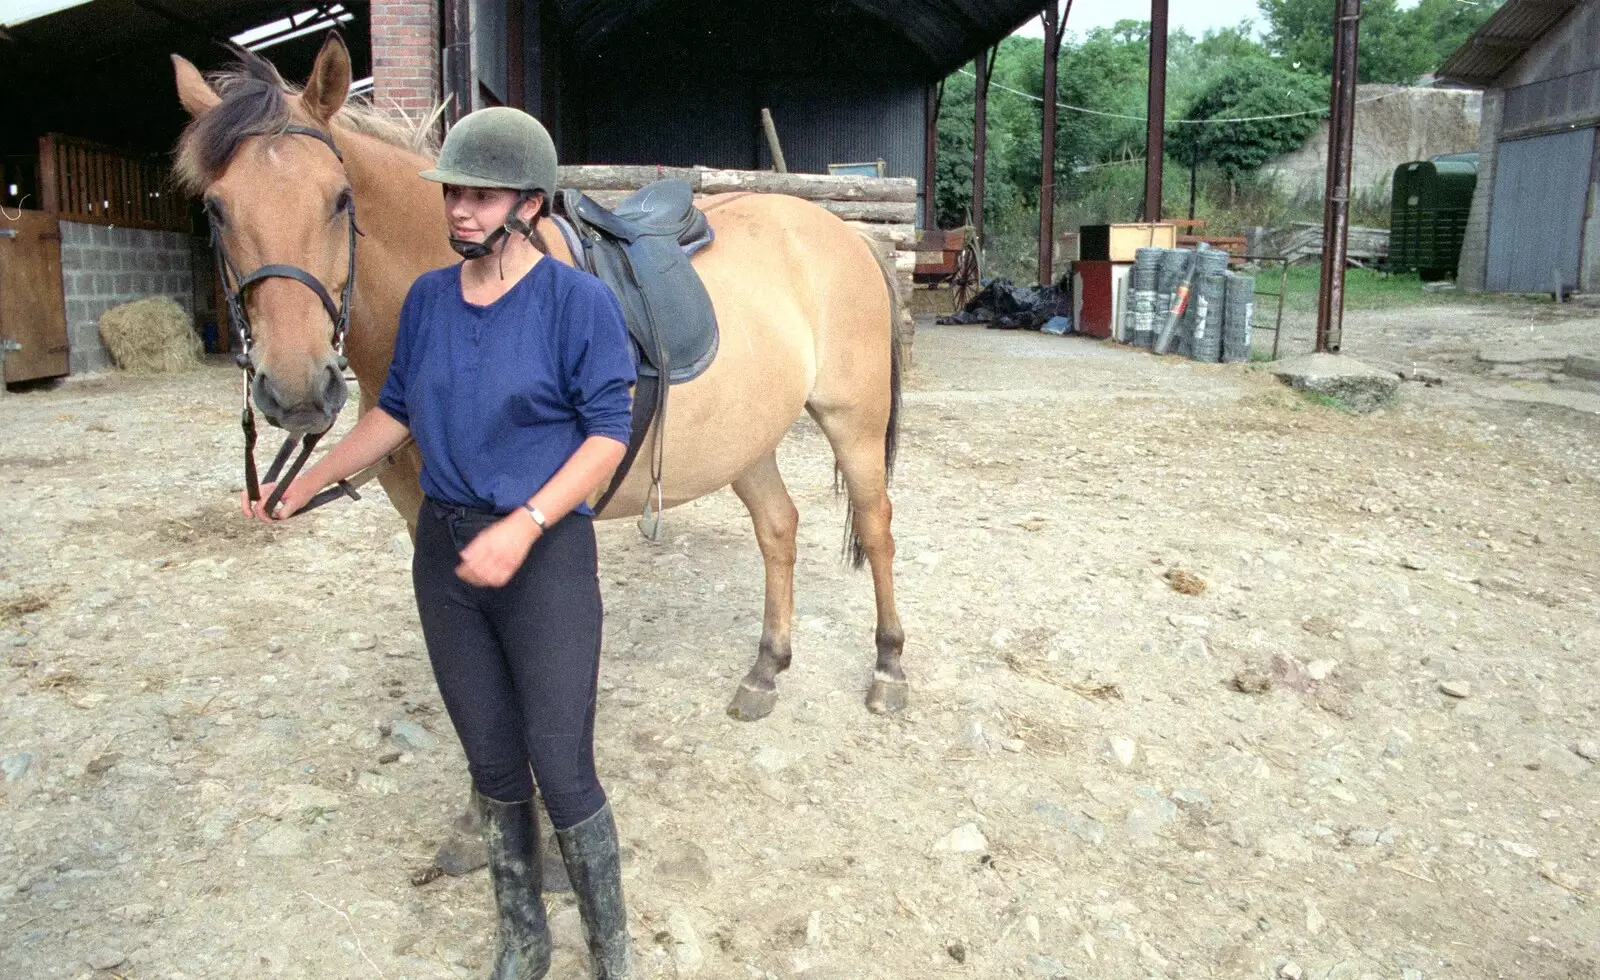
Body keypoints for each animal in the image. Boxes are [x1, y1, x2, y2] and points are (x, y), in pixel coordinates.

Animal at [175, 36, 915, 726]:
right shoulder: (426, 522)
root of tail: (846, 232)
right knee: (779, 528)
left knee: (877, 526)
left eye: (338, 200)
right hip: (747, 436)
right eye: (216, 209)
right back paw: (766, 669)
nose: (297, 390)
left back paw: (888, 667)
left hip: (852, 420)